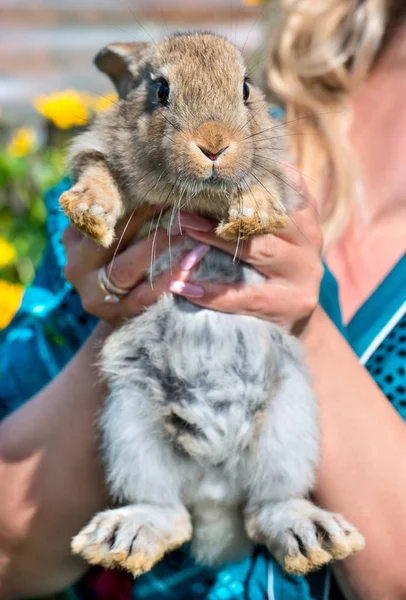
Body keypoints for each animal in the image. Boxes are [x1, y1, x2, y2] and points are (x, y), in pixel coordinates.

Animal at [62, 31, 364, 576]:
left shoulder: (277, 170)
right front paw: (88, 213)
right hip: (130, 422)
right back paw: (123, 538)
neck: (198, 199)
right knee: (169, 513)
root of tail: (214, 491)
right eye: (160, 90)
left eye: (245, 88)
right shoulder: (99, 150)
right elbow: (98, 172)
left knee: (267, 508)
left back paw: (313, 536)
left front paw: (254, 214)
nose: (214, 144)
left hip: (289, 422)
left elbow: (264, 183)